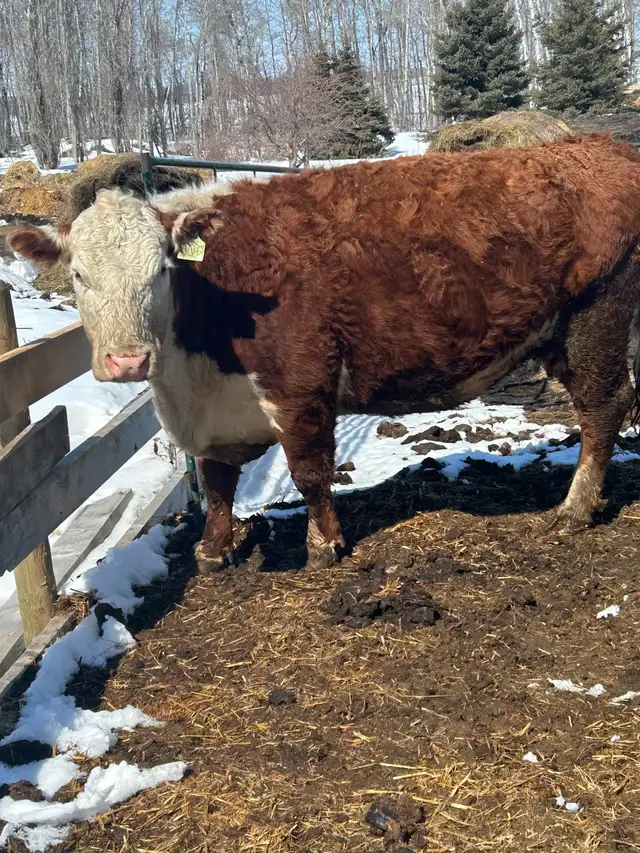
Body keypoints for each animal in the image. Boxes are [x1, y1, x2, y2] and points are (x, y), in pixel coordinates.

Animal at [8, 134, 640, 572]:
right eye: (80, 274)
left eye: (161, 270)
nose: (128, 361)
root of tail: (596, 146)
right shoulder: (214, 414)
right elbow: (215, 481)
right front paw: (213, 553)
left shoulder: (303, 380)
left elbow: (309, 471)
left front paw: (322, 545)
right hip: (558, 333)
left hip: (597, 315)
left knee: (605, 407)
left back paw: (574, 509)